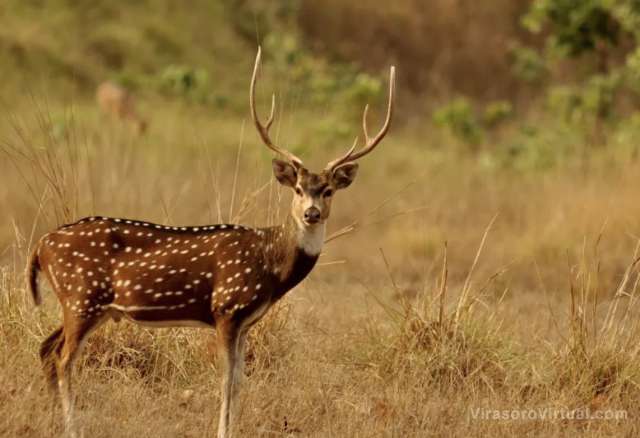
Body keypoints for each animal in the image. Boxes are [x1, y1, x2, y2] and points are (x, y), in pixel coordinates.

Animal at [28, 47, 395, 438]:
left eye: (327, 191)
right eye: (298, 189)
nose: (311, 213)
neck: (270, 264)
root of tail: (41, 245)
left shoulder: (246, 321)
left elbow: (240, 381)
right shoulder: (226, 307)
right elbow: (225, 381)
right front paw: (223, 431)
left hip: (84, 304)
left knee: (46, 349)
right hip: (81, 296)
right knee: (63, 358)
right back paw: (72, 427)